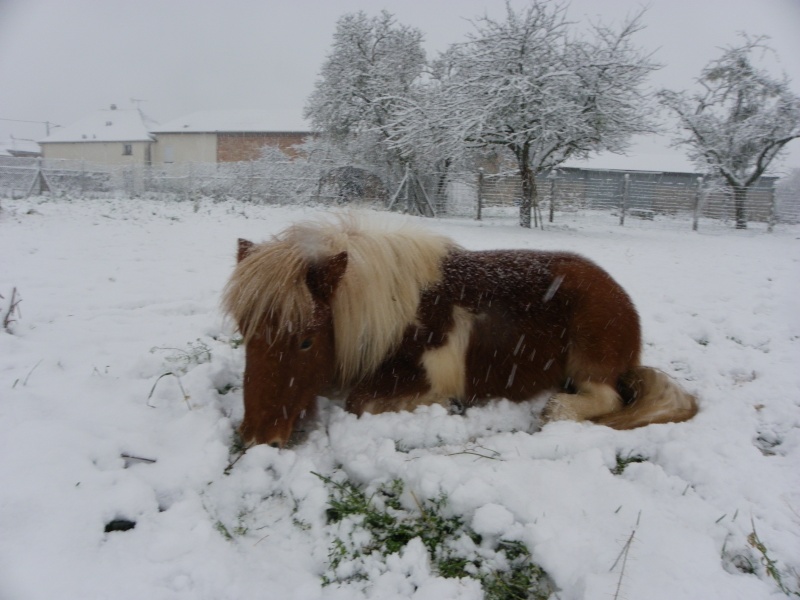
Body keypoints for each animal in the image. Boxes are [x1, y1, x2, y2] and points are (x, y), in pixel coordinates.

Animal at [222, 214, 696, 446]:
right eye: (245, 333)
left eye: (305, 341)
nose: (258, 438)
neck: (395, 311)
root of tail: (620, 296)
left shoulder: (417, 376)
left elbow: (360, 401)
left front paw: (447, 404)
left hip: (590, 362)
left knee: (607, 397)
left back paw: (557, 409)